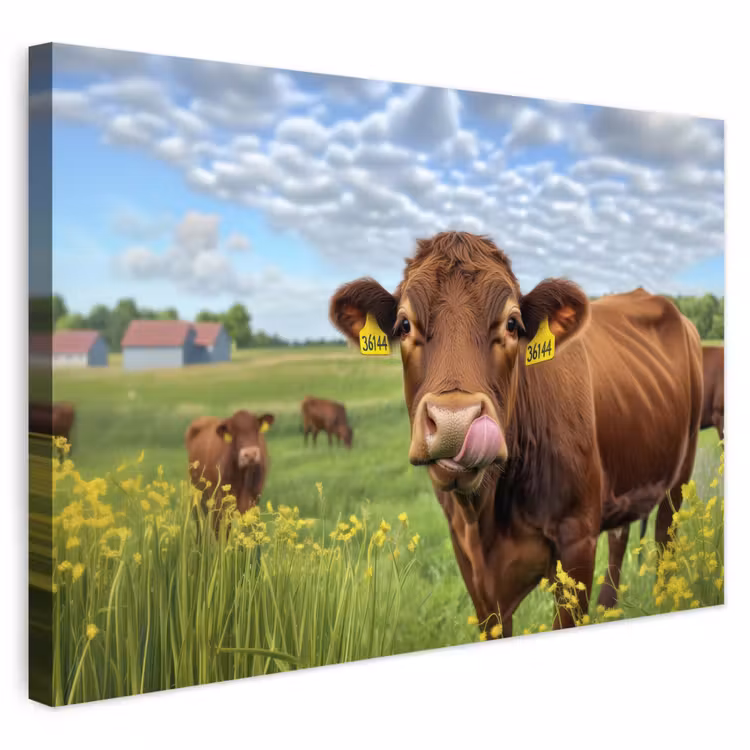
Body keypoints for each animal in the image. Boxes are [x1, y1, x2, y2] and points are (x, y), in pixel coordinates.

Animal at [329, 231, 703, 636]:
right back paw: (609, 607)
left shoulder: (577, 540)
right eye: (404, 325)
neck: (487, 514)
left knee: (665, 537)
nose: (455, 422)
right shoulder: (470, 561)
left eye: (512, 324)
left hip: (680, 475)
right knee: (621, 536)